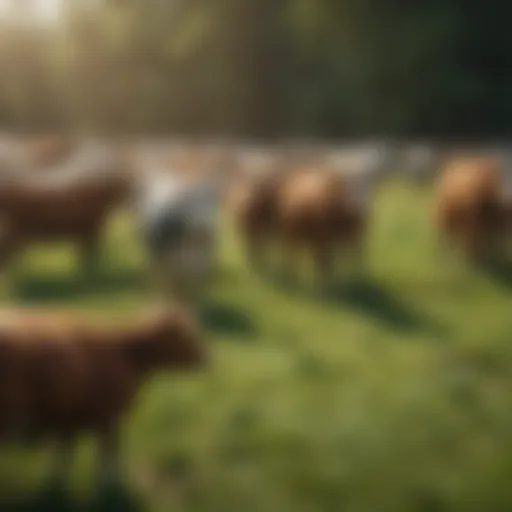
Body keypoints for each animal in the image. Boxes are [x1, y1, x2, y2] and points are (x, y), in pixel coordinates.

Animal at [0, 304, 206, 488]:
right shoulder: (108, 416)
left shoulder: (71, 419)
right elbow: (109, 450)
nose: (205, 358)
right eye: (185, 334)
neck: (127, 354)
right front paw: (109, 480)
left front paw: (55, 479)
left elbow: (64, 453)